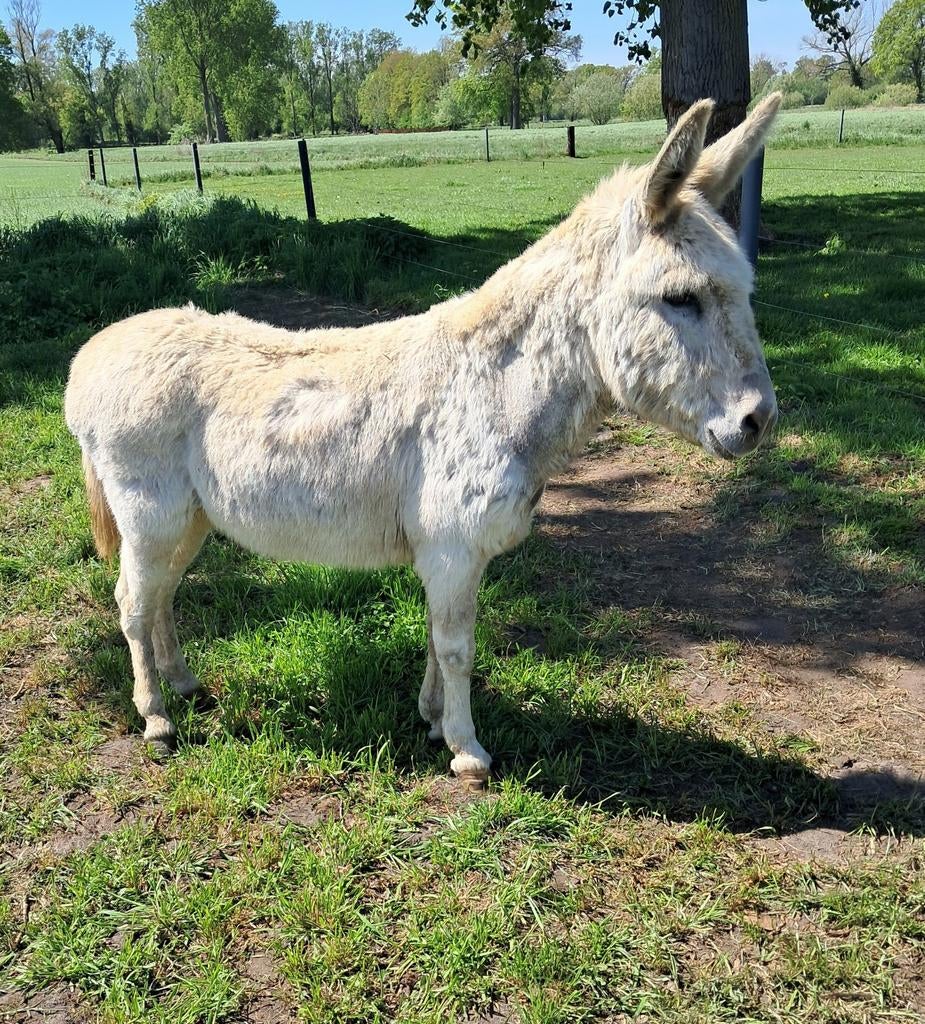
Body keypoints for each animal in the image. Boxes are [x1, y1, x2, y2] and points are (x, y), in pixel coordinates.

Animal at [65, 94, 782, 788]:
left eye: (747, 291)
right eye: (680, 298)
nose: (759, 421)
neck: (496, 386)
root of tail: (90, 356)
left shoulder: (456, 553)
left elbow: (441, 641)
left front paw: (433, 720)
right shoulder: (452, 548)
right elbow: (458, 645)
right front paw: (467, 751)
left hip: (188, 518)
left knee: (161, 593)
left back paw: (182, 684)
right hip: (150, 511)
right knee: (132, 602)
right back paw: (156, 718)